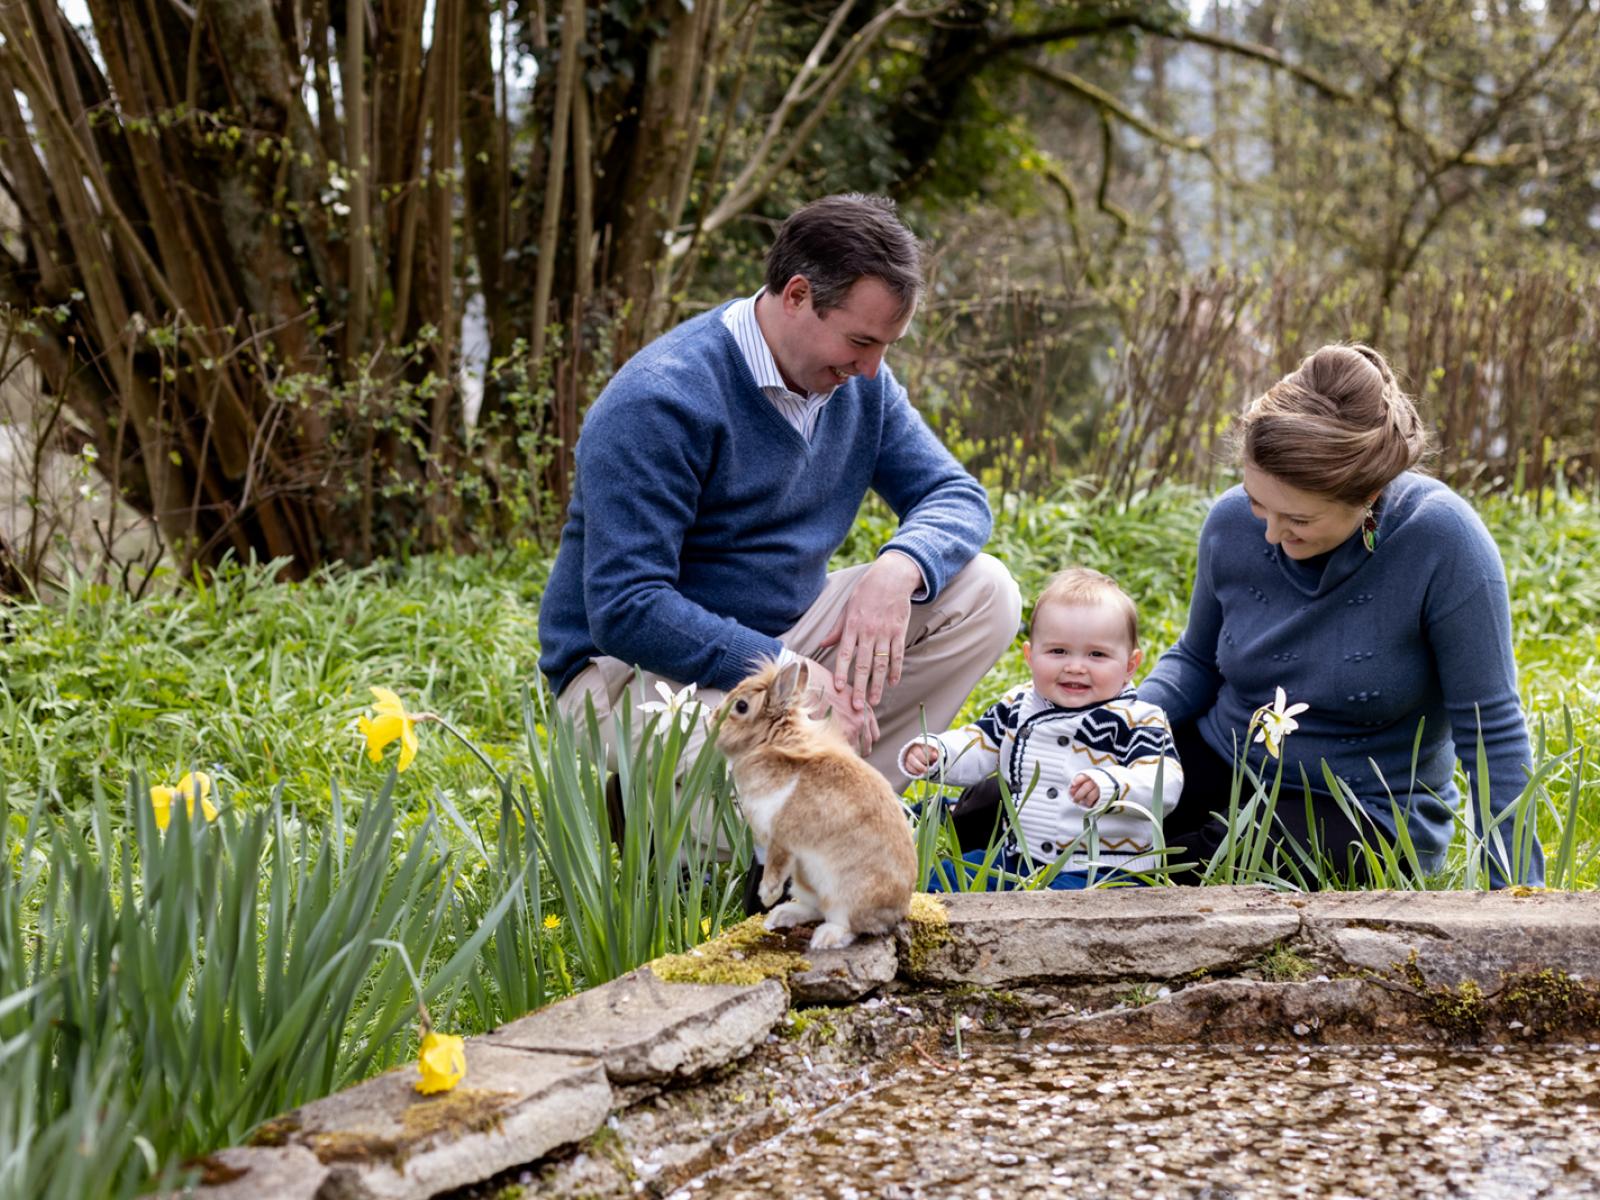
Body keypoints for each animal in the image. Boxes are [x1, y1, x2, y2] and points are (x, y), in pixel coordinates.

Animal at [720, 659, 921, 947]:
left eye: (741, 706)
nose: (713, 720)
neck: (771, 743)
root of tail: (897, 912)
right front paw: (769, 902)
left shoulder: (782, 838)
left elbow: (775, 867)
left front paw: (766, 896)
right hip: (806, 881)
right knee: (816, 908)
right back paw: (781, 916)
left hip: (843, 893)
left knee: (847, 924)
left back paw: (823, 938)